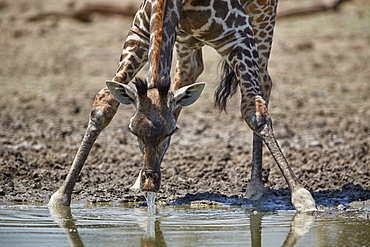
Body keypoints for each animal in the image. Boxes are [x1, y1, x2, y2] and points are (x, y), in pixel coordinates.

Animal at [47, 0, 316, 212]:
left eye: (172, 132)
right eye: (132, 131)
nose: (150, 184)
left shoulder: (238, 34)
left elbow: (255, 111)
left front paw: (301, 197)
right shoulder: (139, 31)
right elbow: (103, 104)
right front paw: (61, 195)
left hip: (262, 16)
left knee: (264, 81)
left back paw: (256, 185)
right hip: (186, 40)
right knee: (186, 75)